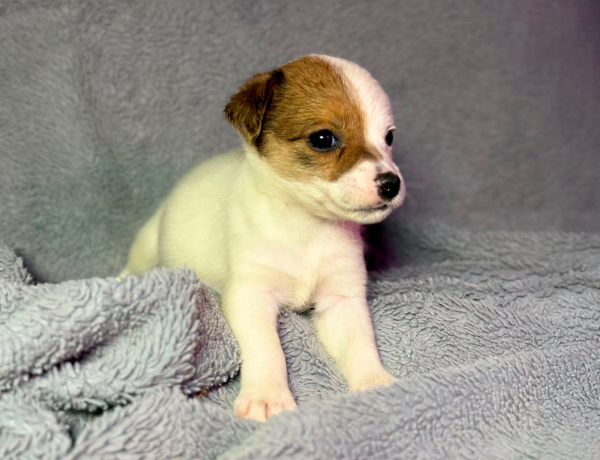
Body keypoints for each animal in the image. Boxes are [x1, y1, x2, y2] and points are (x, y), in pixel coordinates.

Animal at [120, 55, 406, 422]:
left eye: (388, 138)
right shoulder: (250, 296)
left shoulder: (342, 299)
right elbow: (268, 348)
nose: (392, 184)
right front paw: (267, 396)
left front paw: (375, 382)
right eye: (323, 138)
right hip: (148, 246)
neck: (306, 226)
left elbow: (360, 343)